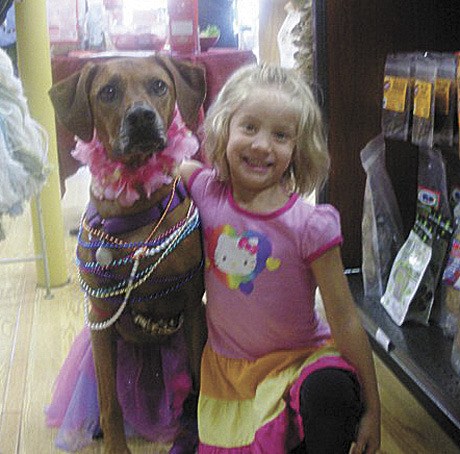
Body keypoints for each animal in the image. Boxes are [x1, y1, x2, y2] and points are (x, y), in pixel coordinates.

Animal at [49, 56, 207, 454]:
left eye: (159, 86)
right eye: (108, 92)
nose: (141, 117)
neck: (135, 214)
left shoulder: (192, 306)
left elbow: (200, 376)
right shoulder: (101, 320)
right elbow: (110, 402)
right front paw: (115, 444)